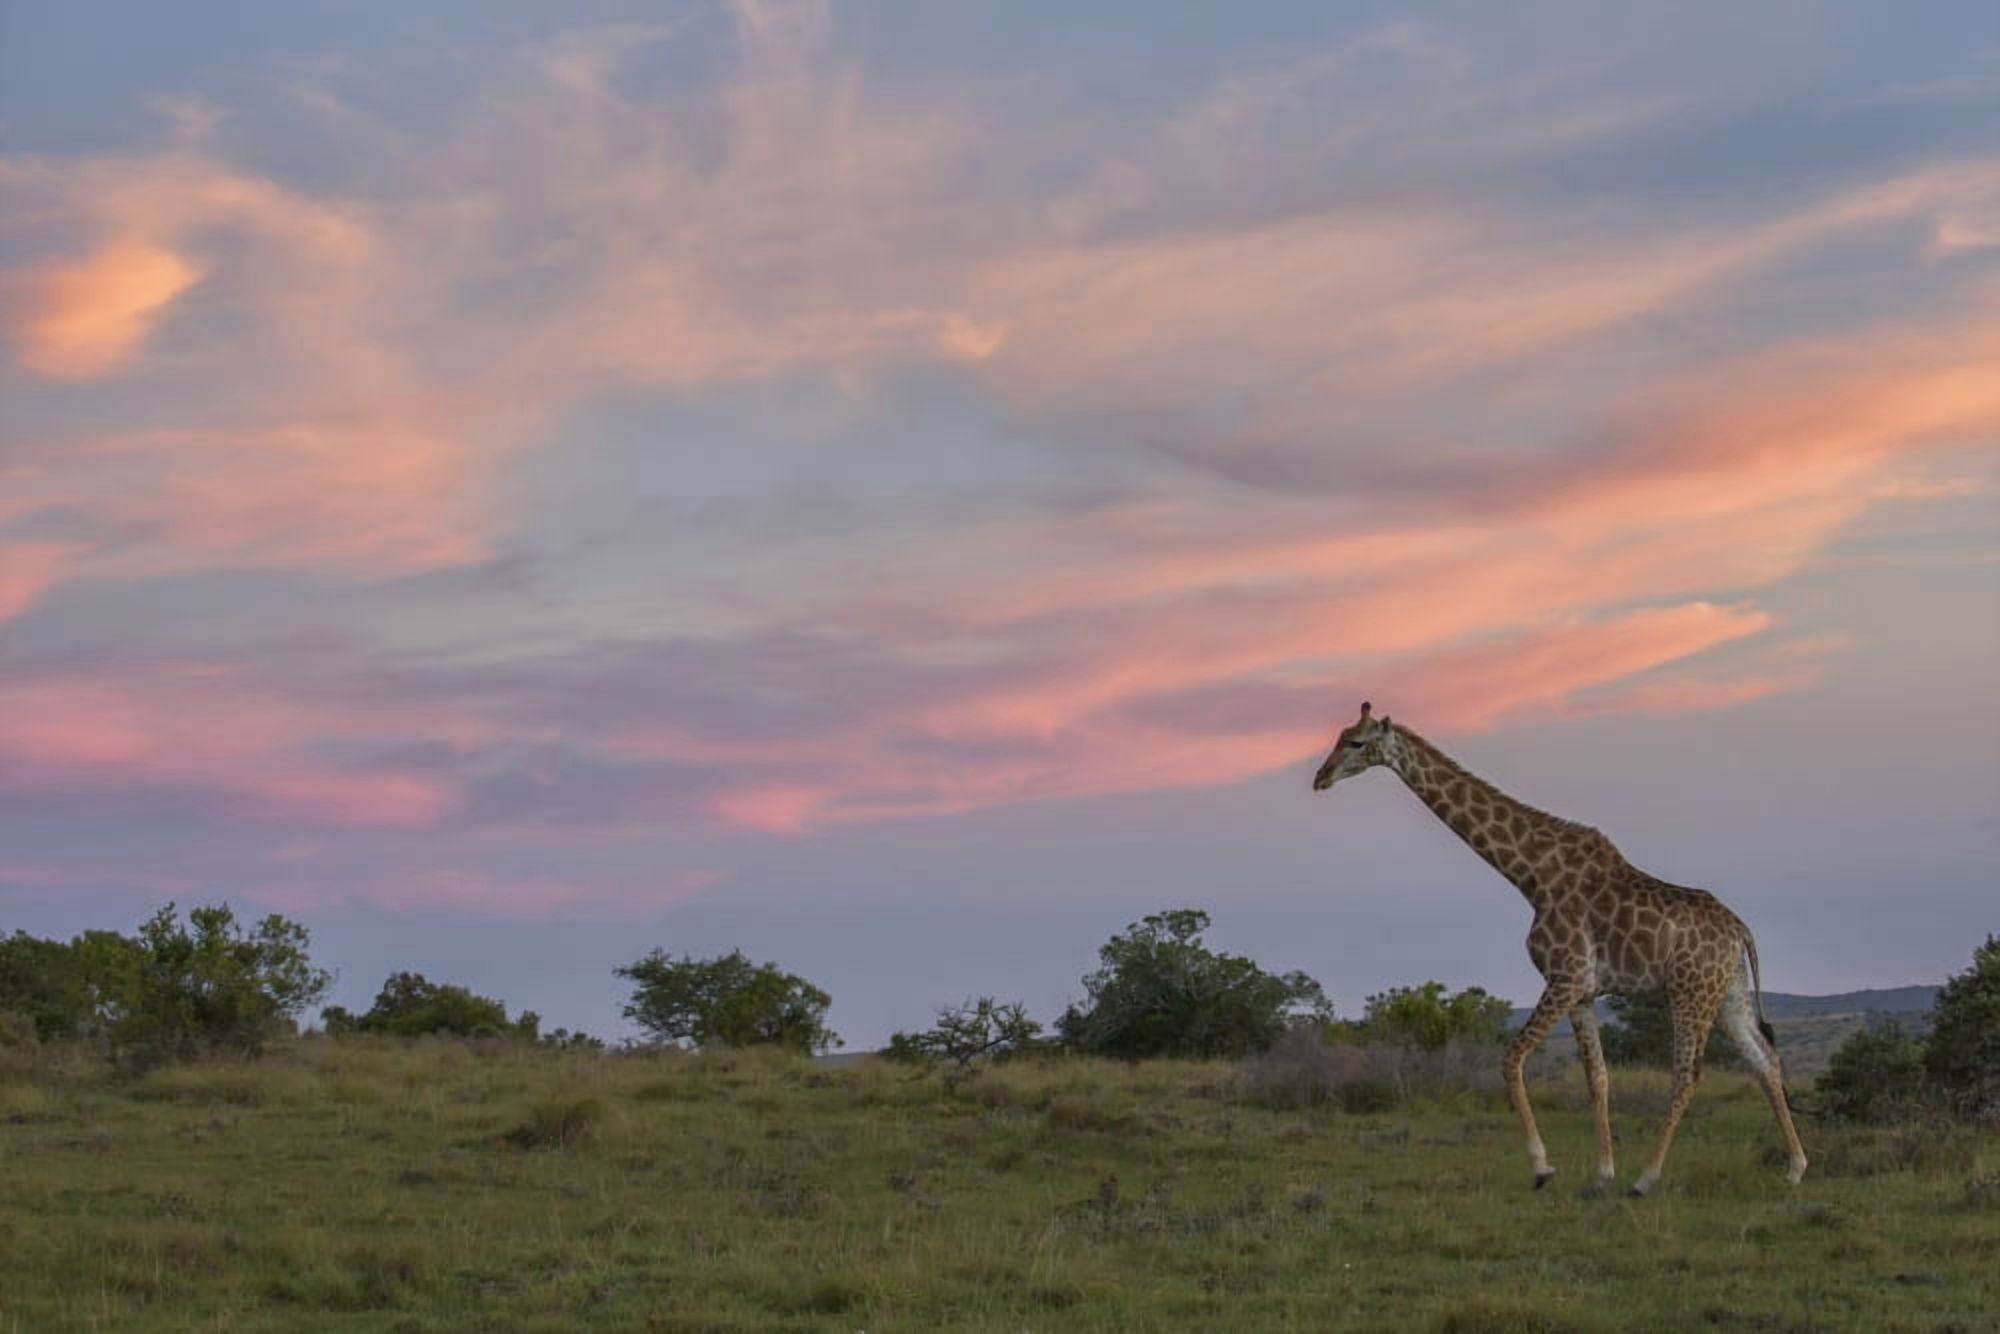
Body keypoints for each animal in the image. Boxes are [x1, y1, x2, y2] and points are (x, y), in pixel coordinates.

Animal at [1312, 702, 1808, 1196]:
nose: (1321, 777)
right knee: (1765, 1061)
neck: (1531, 876)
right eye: (1338, 737)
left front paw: (1542, 1166)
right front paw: (1601, 1173)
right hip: (1728, 994)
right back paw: (1795, 1166)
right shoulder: (1583, 992)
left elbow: (1512, 1058)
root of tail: (1741, 929)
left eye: (1356, 742)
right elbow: (1597, 1077)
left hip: (1690, 992)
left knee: (1688, 1075)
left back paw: (1647, 1178)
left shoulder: (1564, 976)